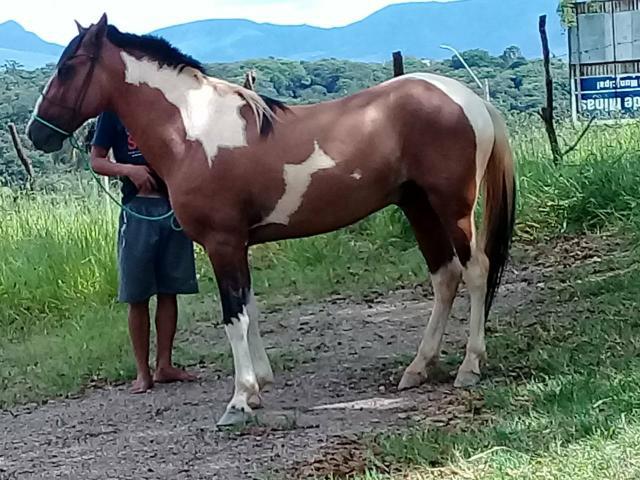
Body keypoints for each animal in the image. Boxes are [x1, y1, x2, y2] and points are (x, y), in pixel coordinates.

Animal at [27, 14, 516, 428]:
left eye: (69, 67)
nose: (37, 133)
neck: (194, 131)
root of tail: (465, 98)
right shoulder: (238, 245)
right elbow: (250, 309)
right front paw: (259, 385)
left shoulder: (223, 243)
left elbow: (234, 317)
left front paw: (239, 400)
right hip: (418, 207)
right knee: (444, 277)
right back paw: (418, 368)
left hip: (452, 207)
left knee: (475, 271)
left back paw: (470, 365)